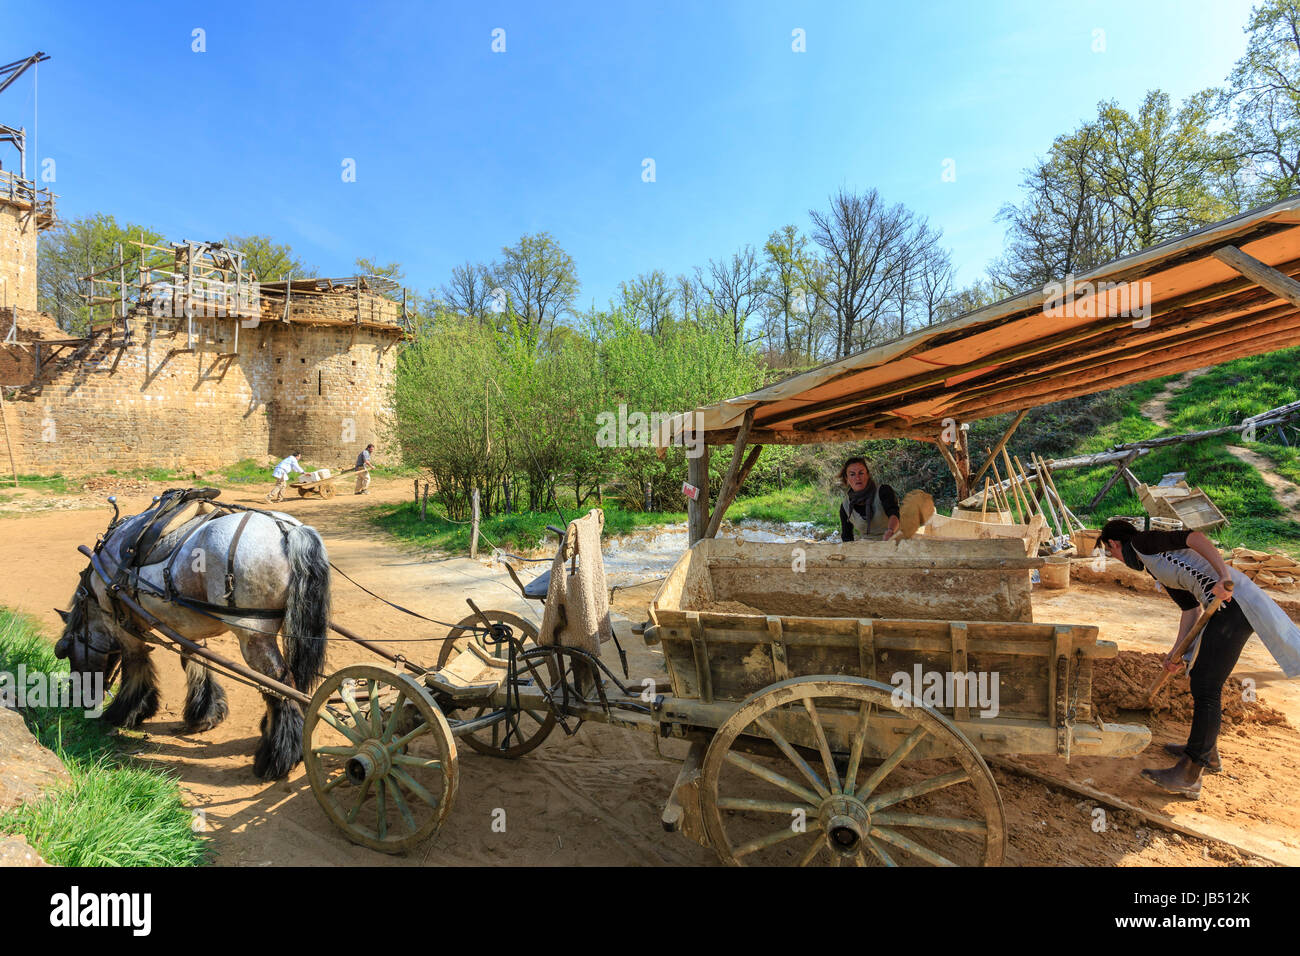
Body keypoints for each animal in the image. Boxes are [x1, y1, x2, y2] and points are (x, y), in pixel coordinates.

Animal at [55, 496, 330, 780]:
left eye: (64, 651)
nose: (79, 698)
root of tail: (287, 531)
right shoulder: (186, 623)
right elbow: (194, 660)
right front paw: (204, 713)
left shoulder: (120, 621)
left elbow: (135, 662)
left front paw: (126, 710)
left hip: (253, 636)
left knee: (278, 684)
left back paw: (277, 756)